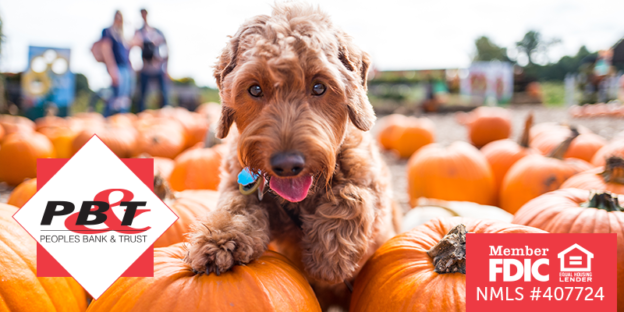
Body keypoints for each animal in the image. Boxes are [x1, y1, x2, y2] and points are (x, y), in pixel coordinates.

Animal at [186, 2, 400, 310]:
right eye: (255, 89)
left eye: (319, 87)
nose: (287, 165)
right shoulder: (237, 182)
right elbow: (235, 205)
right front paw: (217, 241)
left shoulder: (375, 194)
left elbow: (353, 195)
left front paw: (331, 258)